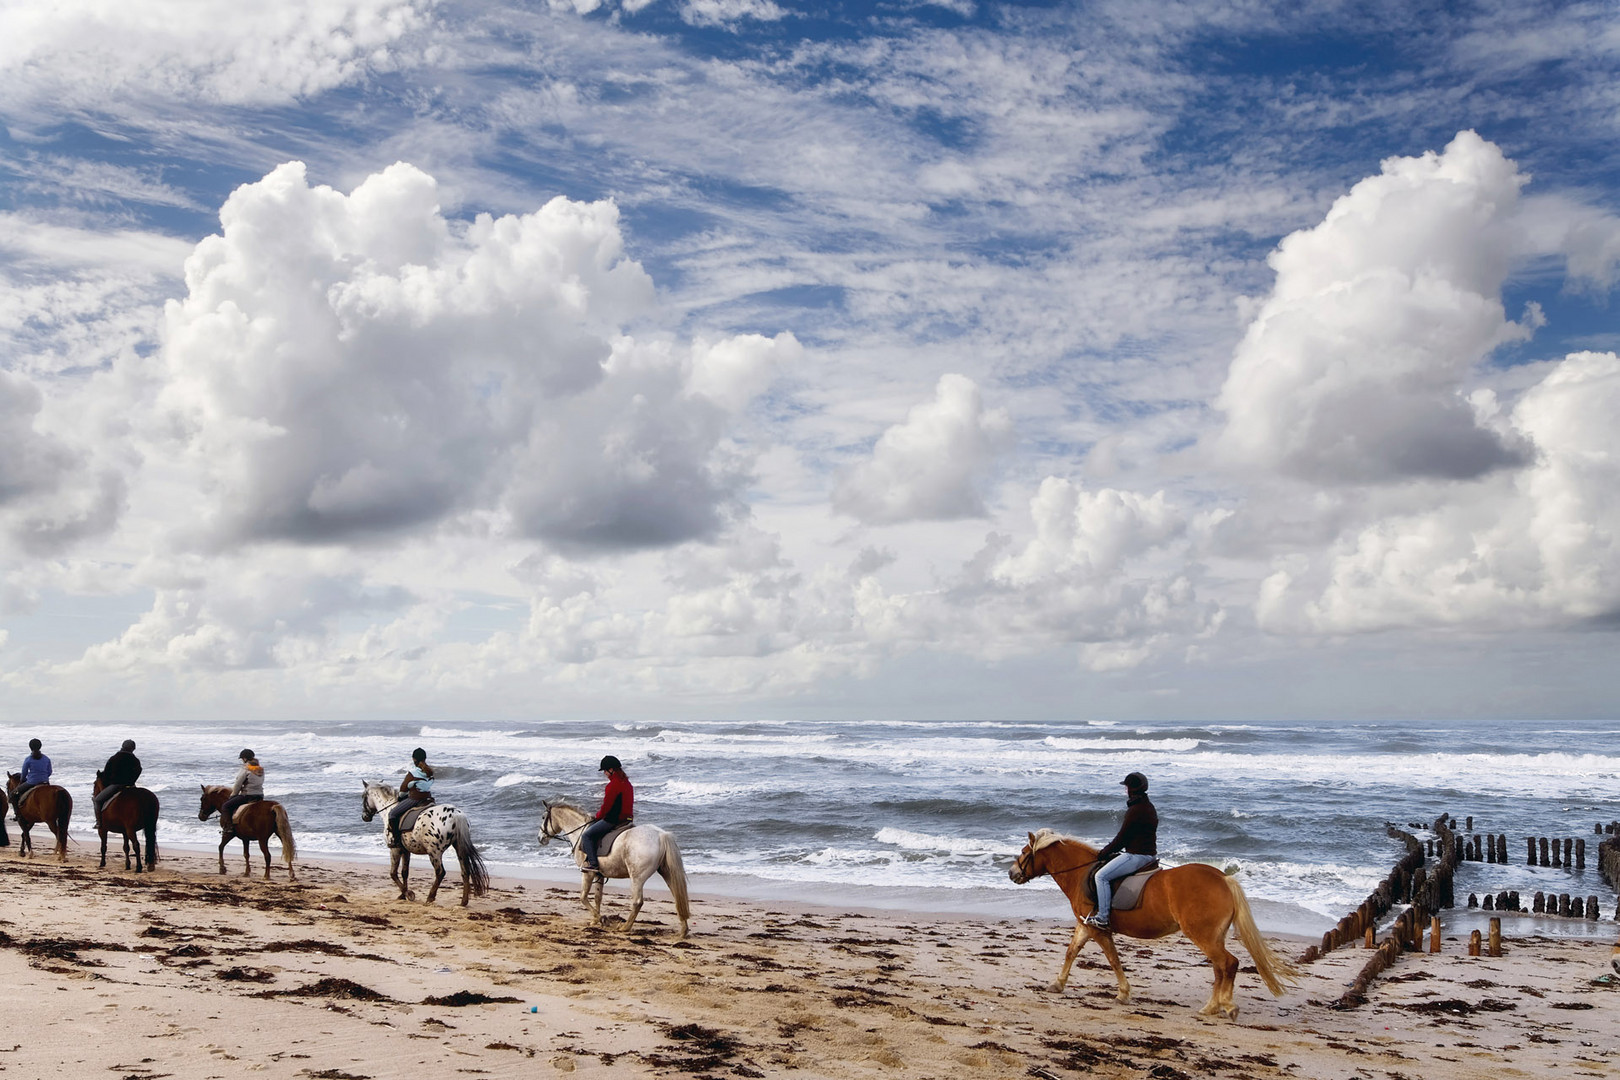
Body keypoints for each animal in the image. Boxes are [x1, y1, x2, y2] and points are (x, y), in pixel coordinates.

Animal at [353, 780, 482, 906]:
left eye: (363, 796)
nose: (365, 817)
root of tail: (456, 815)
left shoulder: (395, 849)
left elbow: (393, 873)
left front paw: (409, 894)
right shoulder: (406, 850)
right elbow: (405, 872)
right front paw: (402, 895)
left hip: (434, 852)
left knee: (440, 872)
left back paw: (430, 897)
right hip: (459, 848)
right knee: (465, 872)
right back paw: (463, 902)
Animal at [537, 799, 690, 939]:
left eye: (543, 817)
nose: (540, 838)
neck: (580, 832)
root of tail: (661, 835)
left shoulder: (587, 873)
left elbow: (583, 897)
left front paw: (602, 919)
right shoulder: (599, 874)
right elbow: (598, 897)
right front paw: (595, 920)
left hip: (636, 878)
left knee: (637, 902)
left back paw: (625, 927)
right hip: (667, 873)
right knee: (678, 898)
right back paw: (683, 930)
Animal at [1004, 835, 1296, 1016]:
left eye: (1024, 852)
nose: (1011, 873)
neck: (1082, 872)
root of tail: (1223, 878)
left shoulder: (1098, 929)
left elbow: (1113, 959)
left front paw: (1123, 994)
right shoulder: (1085, 926)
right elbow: (1071, 952)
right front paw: (1057, 984)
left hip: (1202, 935)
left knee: (1228, 963)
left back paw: (1225, 1005)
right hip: (1212, 937)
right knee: (1220, 967)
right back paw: (1212, 1007)